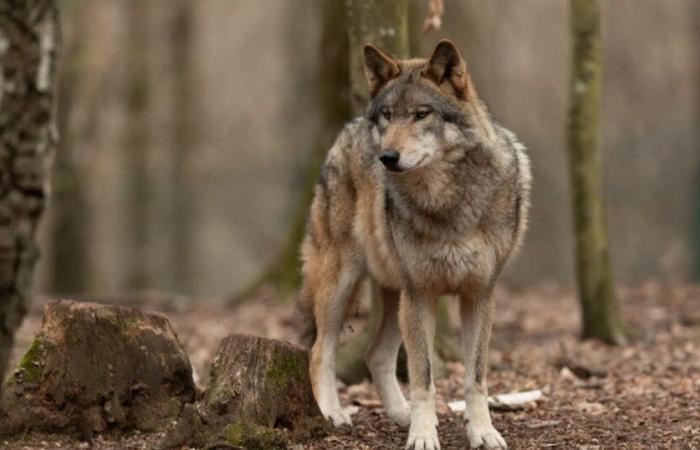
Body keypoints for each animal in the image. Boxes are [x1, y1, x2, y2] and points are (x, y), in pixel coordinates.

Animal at [296, 39, 532, 450]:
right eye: (388, 116)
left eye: (422, 114)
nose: (387, 157)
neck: (447, 202)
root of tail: (350, 126)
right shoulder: (421, 293)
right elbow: (424, 379)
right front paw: (423, 435)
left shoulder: (480, 294)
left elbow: (476, 378)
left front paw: (482, 431)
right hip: (345, 284)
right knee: (319, 351)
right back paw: (332, 414)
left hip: (395, 295)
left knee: (375, 354)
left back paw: (399, 414)